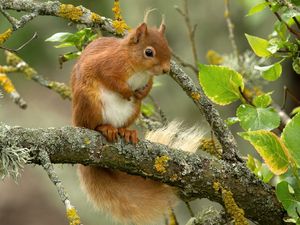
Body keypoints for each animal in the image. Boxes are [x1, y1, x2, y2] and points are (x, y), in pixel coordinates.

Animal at [71, 19, 205, 225]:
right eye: (148, 52)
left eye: (168, 47)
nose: (166, 69)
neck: (139, 70)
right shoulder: (106, 64)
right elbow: (110, 79)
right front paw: (127, 91)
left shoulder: (146, 79)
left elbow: (148, 86)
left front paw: (142, 92)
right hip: (89, 102)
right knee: (91, 125)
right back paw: (105, 128)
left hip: (133, 111)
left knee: (123, 124)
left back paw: (126, 132)